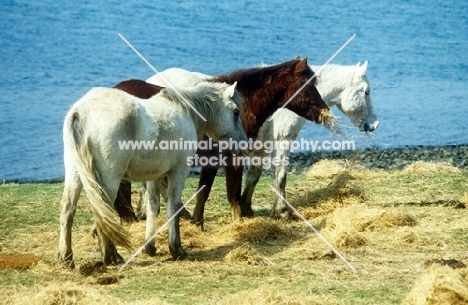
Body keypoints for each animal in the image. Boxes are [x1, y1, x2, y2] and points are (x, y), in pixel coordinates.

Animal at [59, 80, 247, 264]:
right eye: (236, 112)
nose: (243, 143)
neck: (184, 111)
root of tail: (81, 112)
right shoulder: (178, 172)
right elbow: (173, 207)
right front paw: (176, 249)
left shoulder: (154, 176)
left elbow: (152, 207)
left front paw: (149, 247)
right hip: (110, 178)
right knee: (103, 211)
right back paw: (111, 257)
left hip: (76, 174)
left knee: (68, 209)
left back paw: (66, 257)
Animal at [147, 61, 380, 218]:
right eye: (367, 92)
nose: (374, 124)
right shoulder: (282, 140)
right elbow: (281, 175)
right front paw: (281, 211)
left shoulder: (261, 146)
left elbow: (254, 176)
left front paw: (247, 207)